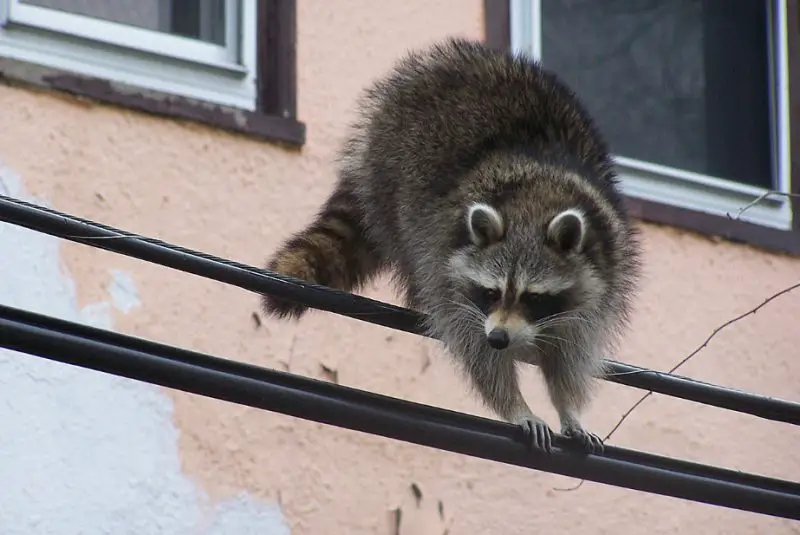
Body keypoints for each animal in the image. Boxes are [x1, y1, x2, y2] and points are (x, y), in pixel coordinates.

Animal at [262, 38, 641, 454]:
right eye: (490, 292)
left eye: (533, 297)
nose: (499, 338)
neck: (534, 204)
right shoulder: (446, 264)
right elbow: (475, 349)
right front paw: (515, 405)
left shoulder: (604, 273)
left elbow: (570, 354)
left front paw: (568, 407)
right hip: (391, 170)